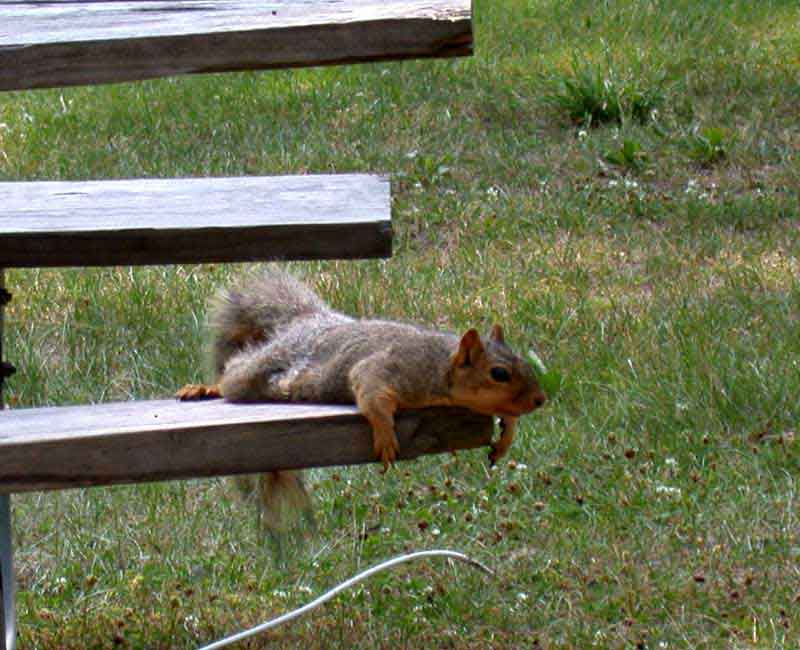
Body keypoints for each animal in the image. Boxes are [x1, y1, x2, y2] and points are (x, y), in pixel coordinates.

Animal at [178, 268, 548, 528]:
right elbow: (370, 392)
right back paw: (208, 387)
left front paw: (508, 433)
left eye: (524, 363)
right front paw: (385, 435)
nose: (540, 400)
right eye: (499, 373)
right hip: (262, 371)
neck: (440, 364)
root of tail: (310, 320)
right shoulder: (395, 367)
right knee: (234, 372)